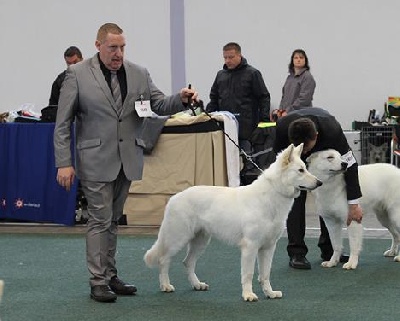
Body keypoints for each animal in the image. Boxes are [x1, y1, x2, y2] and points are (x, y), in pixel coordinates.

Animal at [144, 144, 322, 302]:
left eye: (305, 168)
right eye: (300, 170)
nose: (319, 183)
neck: (273, 194)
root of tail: (174, 197)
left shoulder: (268, 247)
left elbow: (265, 274)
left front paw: (270, 293)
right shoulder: (250, 247)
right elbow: (248, 274)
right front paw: (248, 295)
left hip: (200, 242)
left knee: (187, 262)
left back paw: (197, 285)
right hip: (177, 239)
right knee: (163, 260)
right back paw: (165, 286)